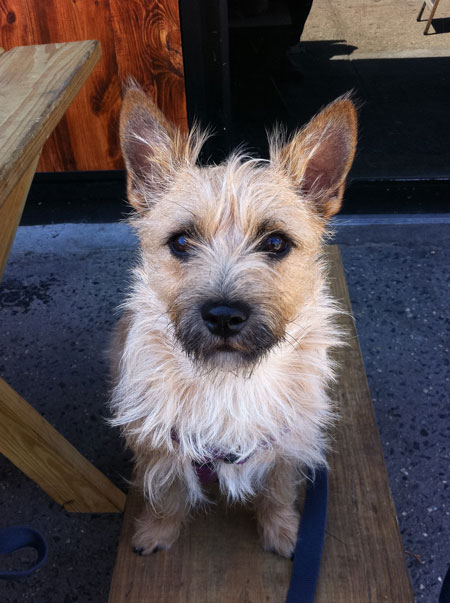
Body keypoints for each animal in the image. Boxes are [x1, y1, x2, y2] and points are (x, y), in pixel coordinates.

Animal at [109, 83, 357, 559]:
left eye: (276, 242)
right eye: (181, 241)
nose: (224, 316)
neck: (228, 381)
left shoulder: (287, 444)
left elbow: (277, 490)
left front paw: (283, 531)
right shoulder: (160, 446)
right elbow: (167, 493)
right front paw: (158, 531)